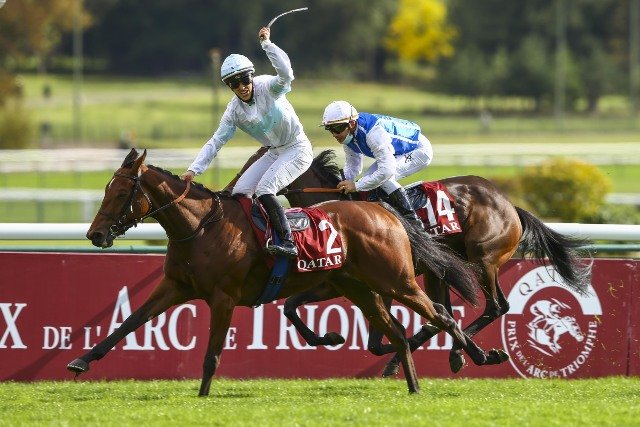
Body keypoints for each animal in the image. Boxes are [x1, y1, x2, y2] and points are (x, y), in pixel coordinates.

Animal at [66, 148, 494, 396]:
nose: (95, 234)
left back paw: (476, 355)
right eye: (106, 190)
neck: (201, 227)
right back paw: (415, 385)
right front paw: (82, 360)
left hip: (397, 281)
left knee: (441, 315)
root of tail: (385, 213)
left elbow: (212, 354)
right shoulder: (175, 286)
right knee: (400, 333)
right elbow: (129, 321)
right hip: (361, 289)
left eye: (122, 193)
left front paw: (202, 396)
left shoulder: (223, 297)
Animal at [226, 148, 590, 375]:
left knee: (495, 306)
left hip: (482, 259)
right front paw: (330, 339)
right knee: (448, 310)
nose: (231, 190)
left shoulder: (363, 283)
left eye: (254, 163)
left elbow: (378, 339)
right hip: (438, 272)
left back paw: (458, 352)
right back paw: (450, 350)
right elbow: (296, 309)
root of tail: (510, 204)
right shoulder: (335, 283)